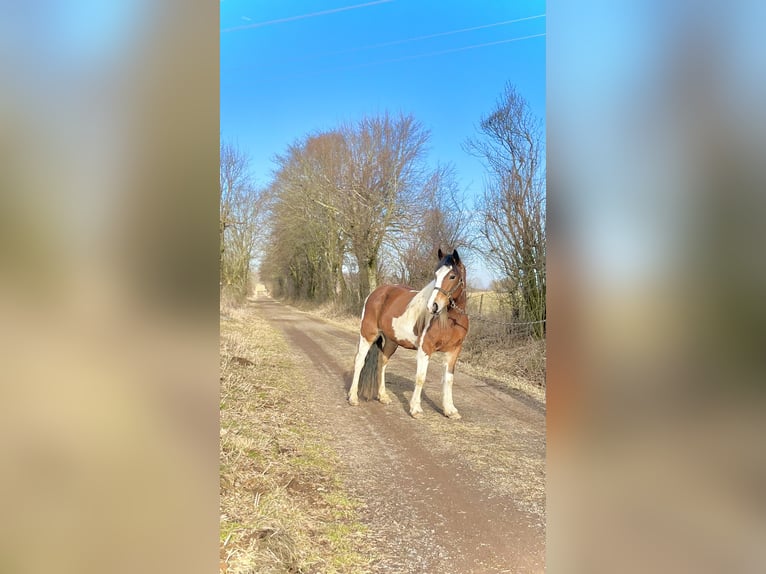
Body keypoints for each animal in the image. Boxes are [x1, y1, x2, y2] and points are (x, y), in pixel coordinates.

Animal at [346, 250, 468, 420]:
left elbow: (448, 380)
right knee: (359, 361)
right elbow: (420, 377)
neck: (450, 321)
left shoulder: (453, 351)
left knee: (382, 363)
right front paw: (416, 409)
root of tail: (376, 293)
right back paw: (353, 397)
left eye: (452, 276)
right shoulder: (425, 349)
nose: (433, 306)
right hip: (367, 335)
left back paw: (383, 396)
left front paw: (450, 410)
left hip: (391, 342)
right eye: (436, 274)